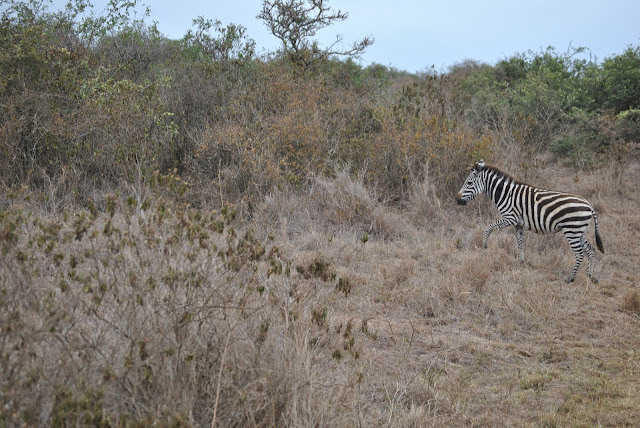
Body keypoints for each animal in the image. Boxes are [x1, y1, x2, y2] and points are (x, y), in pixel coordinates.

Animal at [458, 159, 604, 282]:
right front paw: (521, 262)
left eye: (469, 183)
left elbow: (489, 227)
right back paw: (590, 276)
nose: (457, 200)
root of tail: (589, 205)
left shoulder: (510, 218)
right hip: (578, 231)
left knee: (580, 254)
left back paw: (571, 278)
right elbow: (520, 242)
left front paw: (484, 245)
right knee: (590, 250)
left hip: (572, 230)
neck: (506, 194)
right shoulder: (518, 224)